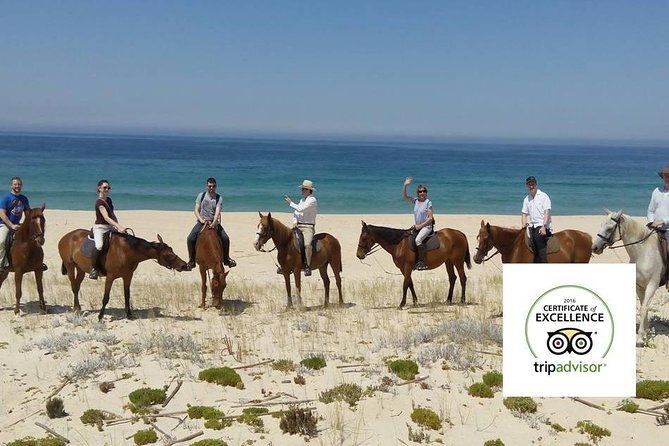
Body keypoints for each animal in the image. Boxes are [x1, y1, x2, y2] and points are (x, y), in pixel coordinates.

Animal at [58, 230, 189, 320]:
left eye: (172, 250)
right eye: (167, 255)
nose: (184, 265)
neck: (126, 251)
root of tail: (66, 236)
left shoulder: (128, 276)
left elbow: (127, 295)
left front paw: (129, 315)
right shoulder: (110, 277)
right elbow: (106, 297)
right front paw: (100, 317)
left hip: (80, 269)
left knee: (76, 286)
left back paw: (77, 307)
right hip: (70, 265)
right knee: (74, 286)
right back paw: (77, 310)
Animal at [592, 210, 665, 346]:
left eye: (610, 228)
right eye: (601, 224)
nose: (594, 248)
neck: (643, 253)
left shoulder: (652, 285)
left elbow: (644, 308)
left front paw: (640, 339)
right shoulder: (639, 286)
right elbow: (643, 307)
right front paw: (645, 334)